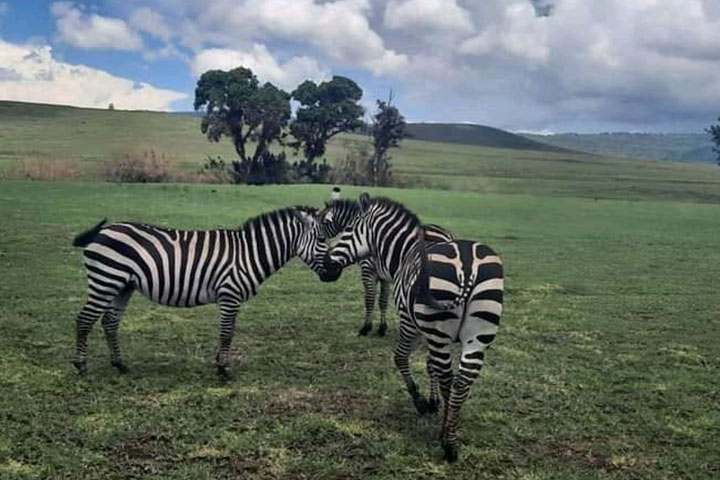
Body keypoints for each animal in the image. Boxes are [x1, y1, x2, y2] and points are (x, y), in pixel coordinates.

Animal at [70, 206, 334, 378]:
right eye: (322, 239)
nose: (335, 273)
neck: (249, 253)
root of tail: (102, 231)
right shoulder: (230, 295)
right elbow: (227, 333)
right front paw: (224, 370)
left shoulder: (230, 298)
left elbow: (226, 332)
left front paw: (219, 363)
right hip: (106, 280)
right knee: (84, 319)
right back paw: (81, 366)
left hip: (122, 286)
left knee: (109, 322)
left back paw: (120, 364)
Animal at [320, 200, 456, 338]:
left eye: (324, 223)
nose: (328, 273)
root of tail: (447, 234)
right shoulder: (384, 275)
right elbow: (383, 301)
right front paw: (382, 328)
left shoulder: (368, 270)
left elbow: (369, 299)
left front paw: (366, 328)